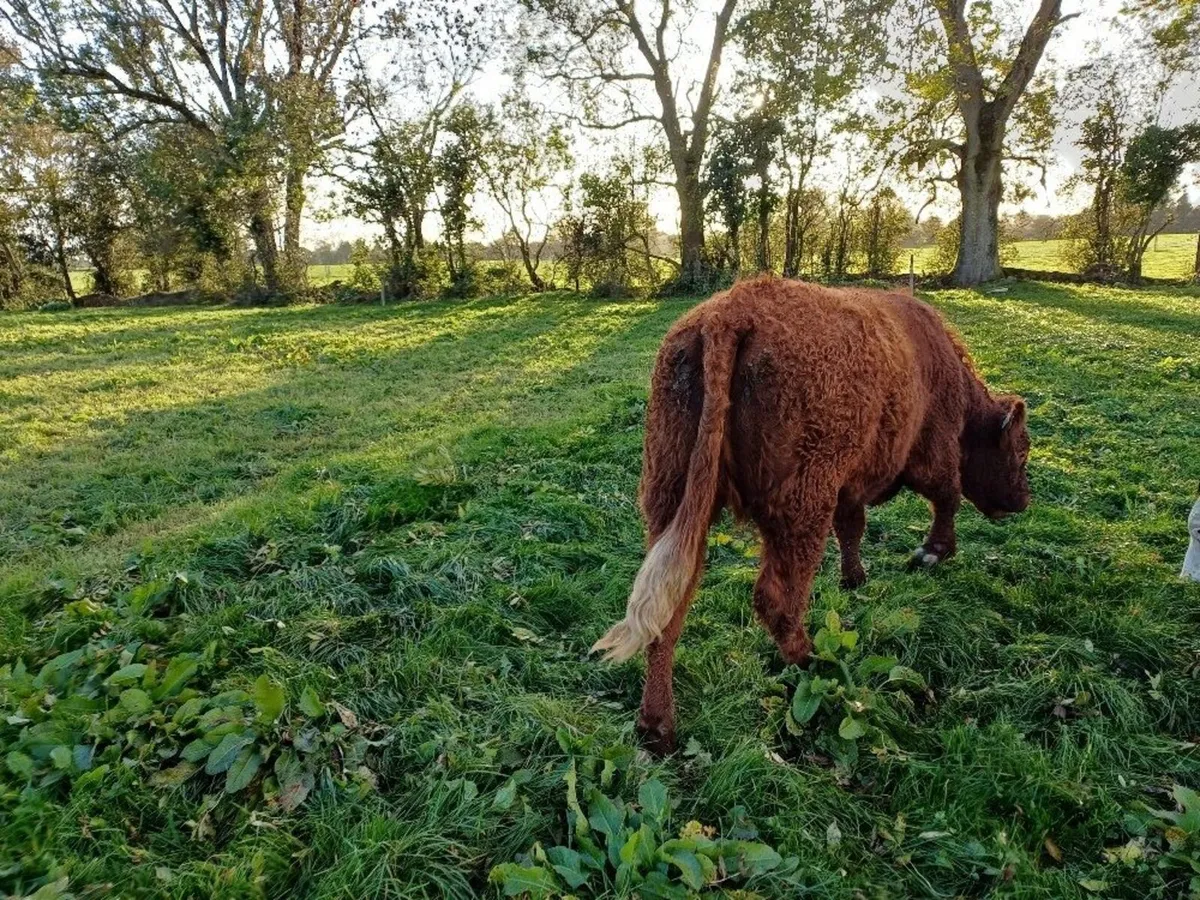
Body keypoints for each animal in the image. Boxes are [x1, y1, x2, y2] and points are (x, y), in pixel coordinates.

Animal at [592, 277, 1031, 754]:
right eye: (1022, 451)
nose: (1023, 500)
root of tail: (730, 312)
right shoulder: (932, 454)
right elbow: (946, 498)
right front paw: (932, 552)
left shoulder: (850, 485)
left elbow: (853, 527)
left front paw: (854, 577)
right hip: (801, 507)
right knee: (777, 599)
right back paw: (815, 661)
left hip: (671, 498)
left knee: (667, 608)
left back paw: (657, 728)